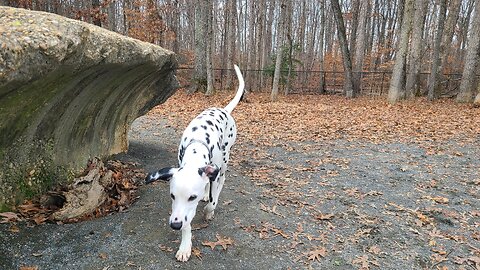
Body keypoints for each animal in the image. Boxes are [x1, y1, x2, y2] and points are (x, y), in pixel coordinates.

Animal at [145, 64, 244, 260]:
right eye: (172, 196)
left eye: (192, 197)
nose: (174, 225)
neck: (197, 143)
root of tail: (224, 110)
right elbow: (187, 221)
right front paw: (185, 246)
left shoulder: (215, 175)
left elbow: (212, 202)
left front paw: (209, 211)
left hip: (225, 160)